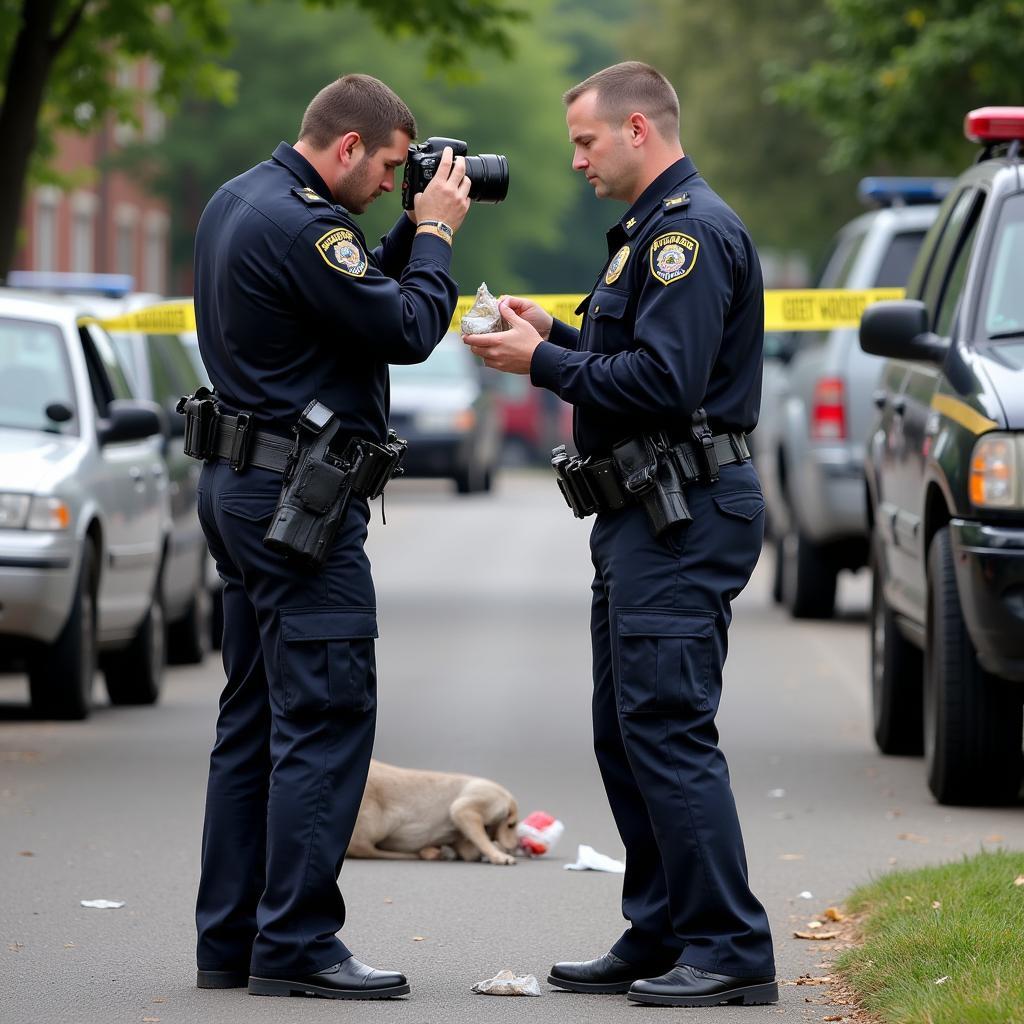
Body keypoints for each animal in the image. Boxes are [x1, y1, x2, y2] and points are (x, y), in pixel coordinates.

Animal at [352, 761, 520, 864]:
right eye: (512, 825)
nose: (516, 845)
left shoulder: (463, 840)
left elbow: (470, 850)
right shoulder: (466, 808)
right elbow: (480, 837)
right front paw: (500, 855)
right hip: (373, 826)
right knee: (366, 850)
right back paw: (430, 853)